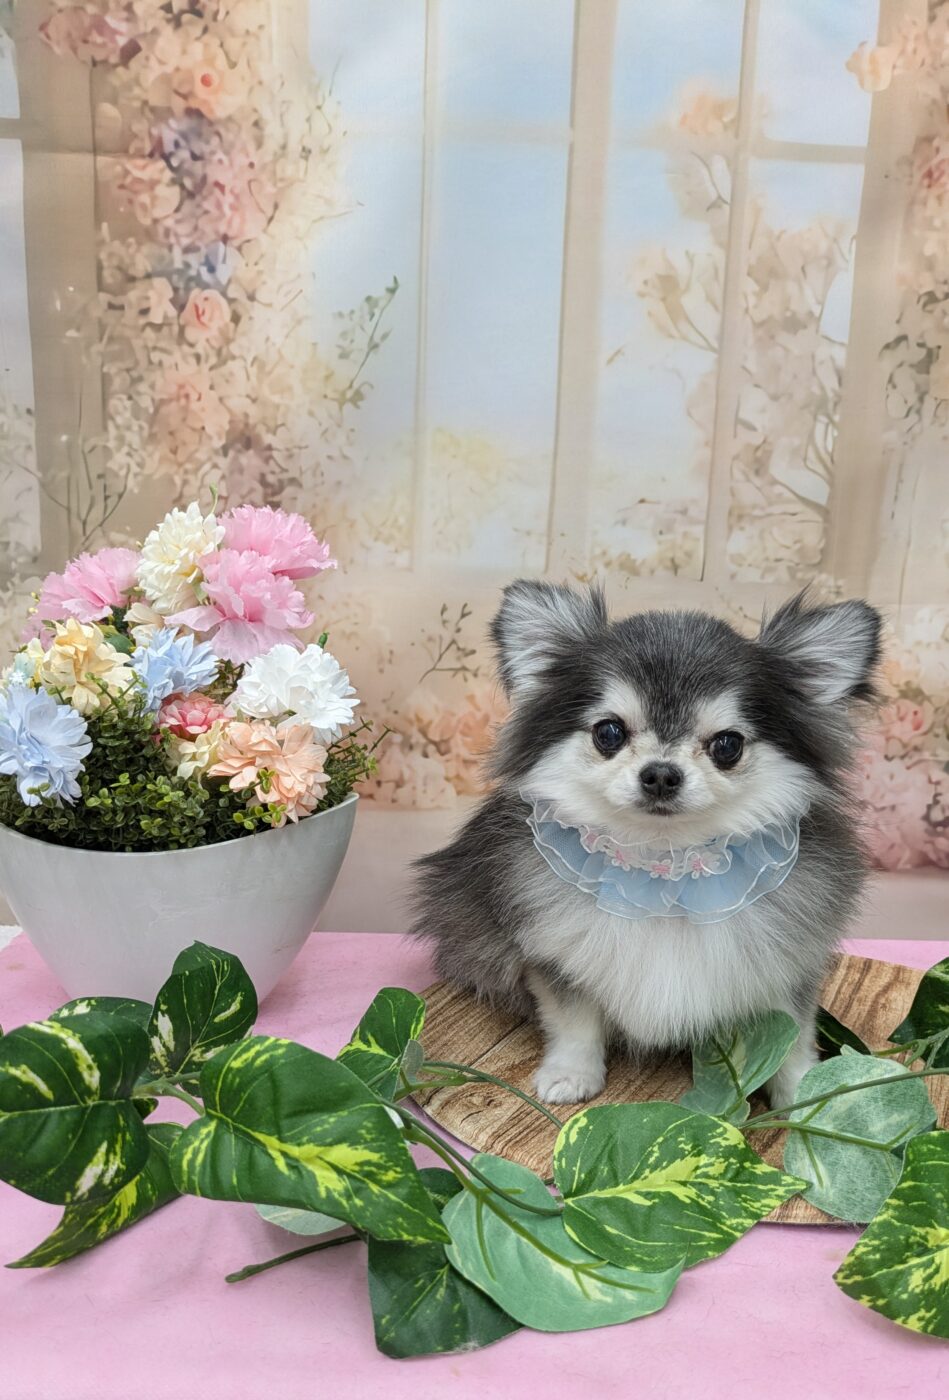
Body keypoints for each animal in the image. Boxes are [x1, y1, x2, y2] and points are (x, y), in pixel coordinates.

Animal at [412, 582, 881, 1107]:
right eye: (609, 732)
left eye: (727, 745)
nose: (660, 773)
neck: (664, 868)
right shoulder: (555, 958)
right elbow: (574, 1024)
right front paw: (572, 1075)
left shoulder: (787, 963)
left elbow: (793, 1037)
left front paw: (805, 1094)